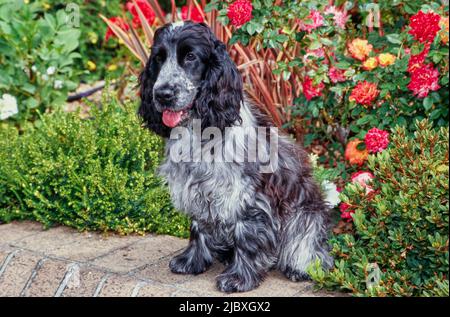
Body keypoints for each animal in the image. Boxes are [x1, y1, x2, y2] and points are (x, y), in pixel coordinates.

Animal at [139, 20, 332, 292]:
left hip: (305, 215)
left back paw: (300, 267)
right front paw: (191, 261)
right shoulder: (197, 189)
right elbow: (197, 228)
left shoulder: (246, 196)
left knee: (311, 249)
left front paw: (239, 277)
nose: (162, 94)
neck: (199, 129)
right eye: (158, 58)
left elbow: (246, 237)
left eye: (190, 57)